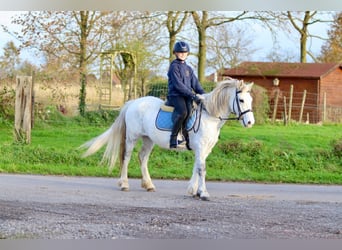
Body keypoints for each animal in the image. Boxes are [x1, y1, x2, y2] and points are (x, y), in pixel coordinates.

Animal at [81, 79, 254, 200]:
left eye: (251, 100)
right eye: (241, 100)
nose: (250, 123)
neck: (209, 115)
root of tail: (133, 102)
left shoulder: (205, 149)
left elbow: (197, 167)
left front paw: (193, 190)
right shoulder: (200, 146)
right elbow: (201, 169)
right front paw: (203, 193)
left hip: (148, 139)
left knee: (142, 158)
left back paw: (149, 185)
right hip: (132, 137)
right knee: (126, 157)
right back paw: (124, 184)